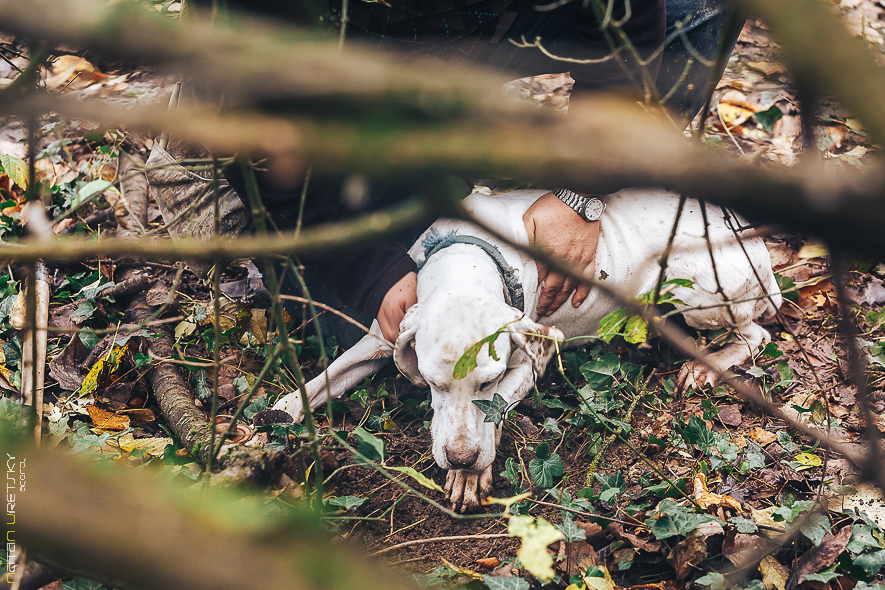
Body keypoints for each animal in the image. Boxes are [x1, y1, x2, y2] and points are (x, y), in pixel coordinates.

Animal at [272, 191, 780, 512]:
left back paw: (706, 367)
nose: (460, 459)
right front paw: (281, 412)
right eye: (433, 384)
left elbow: (497, 409)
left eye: (490, 379)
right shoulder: (383, 333)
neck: (468, 257)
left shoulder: (530, 361)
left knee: (756, 335)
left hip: (696, 287)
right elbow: (324, 379)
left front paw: (470, 476)